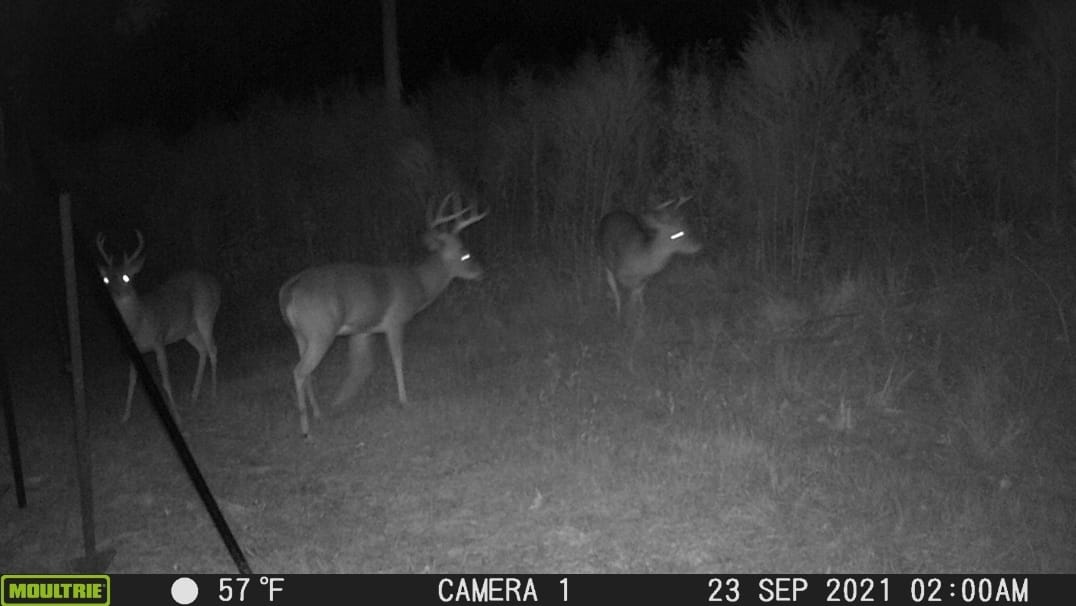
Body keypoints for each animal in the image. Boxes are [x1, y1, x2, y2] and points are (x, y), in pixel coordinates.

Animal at [96, 230, 221, 424]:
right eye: (106, 279)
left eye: (126, 277)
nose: (113, 294)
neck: (139, 323)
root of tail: (216, 283)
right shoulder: (135, 351)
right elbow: (132, 381)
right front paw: (125, 416)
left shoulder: (159, 339)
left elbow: (166, 381)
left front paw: (177, 415)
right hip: (189, 330)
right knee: (202, 350)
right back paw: (194, 395)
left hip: (206, 315)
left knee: (213, 349)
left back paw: (214, 394)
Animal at [278, 191, 488, 437]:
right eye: (465, 254)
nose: (481, 272)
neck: (418, 285)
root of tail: (289, 290)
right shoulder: (395, 321)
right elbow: (397, 359)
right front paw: (404, 400)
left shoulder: (362, 330)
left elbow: (361, 365)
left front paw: (341, 400)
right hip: (321, 330)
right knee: (299, 371)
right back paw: (306, 430)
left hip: (300, 334)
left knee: (308, 372)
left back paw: (319, 414)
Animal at [597, 195, 702, 323]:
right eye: (678, 233)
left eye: (686, 226)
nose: (697, 245)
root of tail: (610, 214)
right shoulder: (622, 274)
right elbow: (626, 295)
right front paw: (626, 318)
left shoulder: (645, 278)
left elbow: (638, 294)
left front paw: (642, 315)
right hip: (605, 260)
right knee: (613, 286)